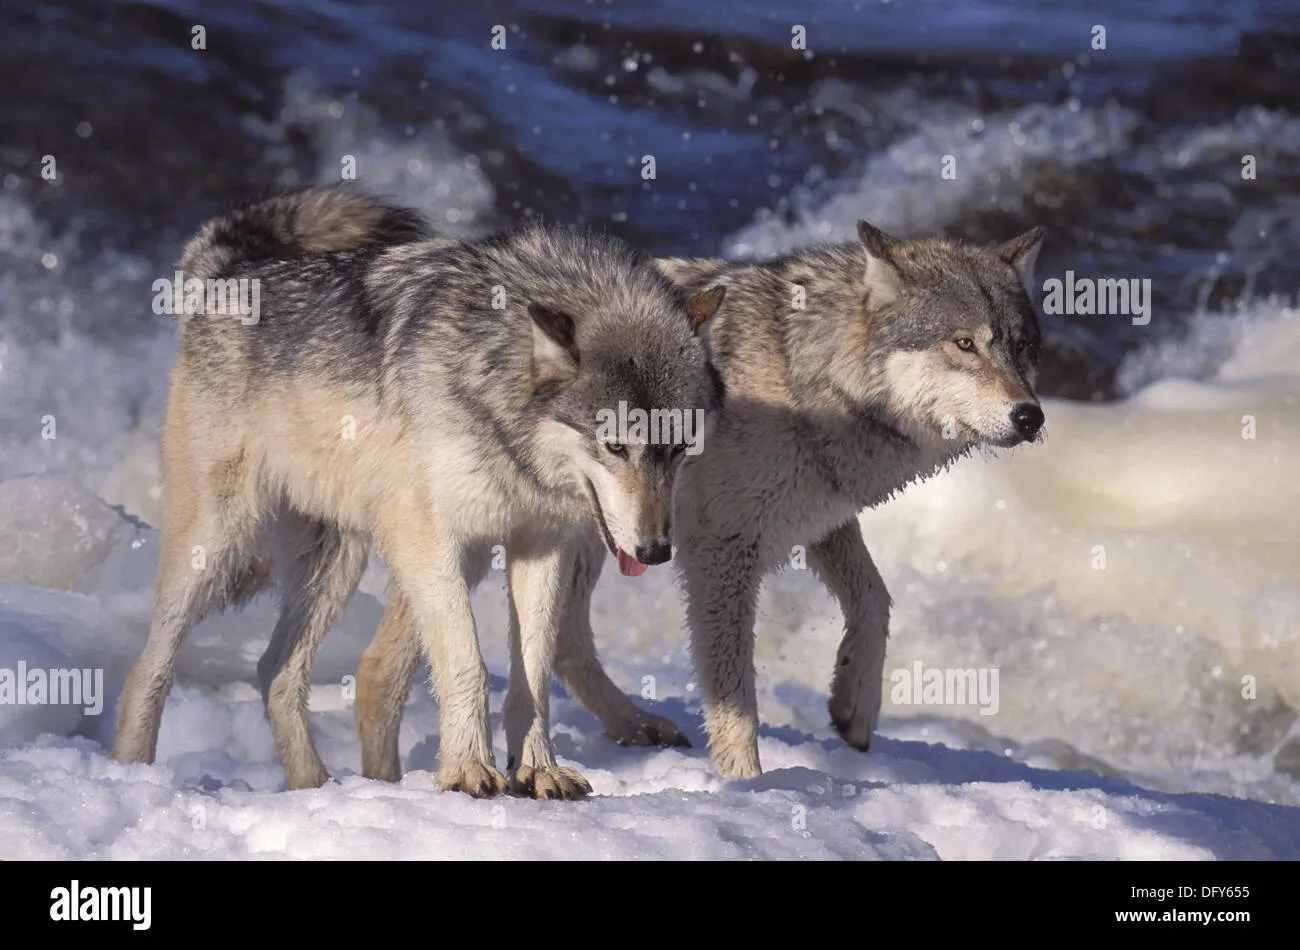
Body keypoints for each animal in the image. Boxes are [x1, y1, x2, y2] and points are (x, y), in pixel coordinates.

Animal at [111, 185, 728, 795]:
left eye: (678, 447)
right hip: (216, 546)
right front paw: (468, 770)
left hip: (337, 566)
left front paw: (538, 770)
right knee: (149, 666)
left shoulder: (540, 545)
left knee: (275, 670)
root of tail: (231, 274)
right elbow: (467, 660)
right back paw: (133, 771)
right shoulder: (430, 539)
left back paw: (317, 787)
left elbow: (533, 671)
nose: (656, 551)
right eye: (616, 446)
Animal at [353, 220, 1045, 779]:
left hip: (595, 537)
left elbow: (875, 600)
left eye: (1021, 348)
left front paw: (853, 705)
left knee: (558, 641)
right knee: (385, 670)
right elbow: (735, 697)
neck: (805, 373)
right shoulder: (721, 551)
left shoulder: (818, 517)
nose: (1032, 416)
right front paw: (747, 785)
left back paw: (632, 725)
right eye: (964, 343)